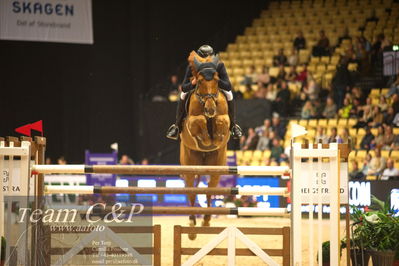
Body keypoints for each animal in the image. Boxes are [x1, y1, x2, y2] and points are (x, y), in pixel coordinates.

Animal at [180, 51, 230, 240]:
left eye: (216, 80)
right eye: (200, 81)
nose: (210, 109)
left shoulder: (224, 117)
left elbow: (221, 120)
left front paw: (215, 137)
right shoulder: (191, 122)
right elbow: (200, 120)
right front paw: (207, 139)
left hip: (216, 167)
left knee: (210, 190)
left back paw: (206, 221)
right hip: (189, 166)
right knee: (191, 192)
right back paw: (192, 226)